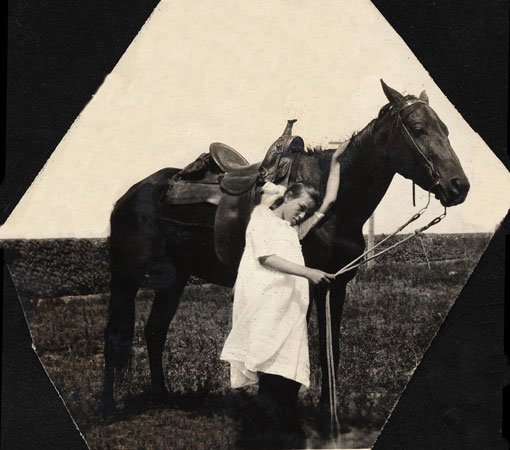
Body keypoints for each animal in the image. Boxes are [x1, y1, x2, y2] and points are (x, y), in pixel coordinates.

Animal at [102, 80, 470, 418]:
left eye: (446, 130)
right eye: (418, 129)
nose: (459, 186)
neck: (332, 203)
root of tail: (130, 195)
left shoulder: (335, 283)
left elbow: (330, 346)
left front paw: (326, 410)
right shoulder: (304, 282)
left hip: (173, 278)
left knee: (154, 331)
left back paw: (161, 396)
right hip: (126, 275)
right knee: (115, 335)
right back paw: (107, 406)